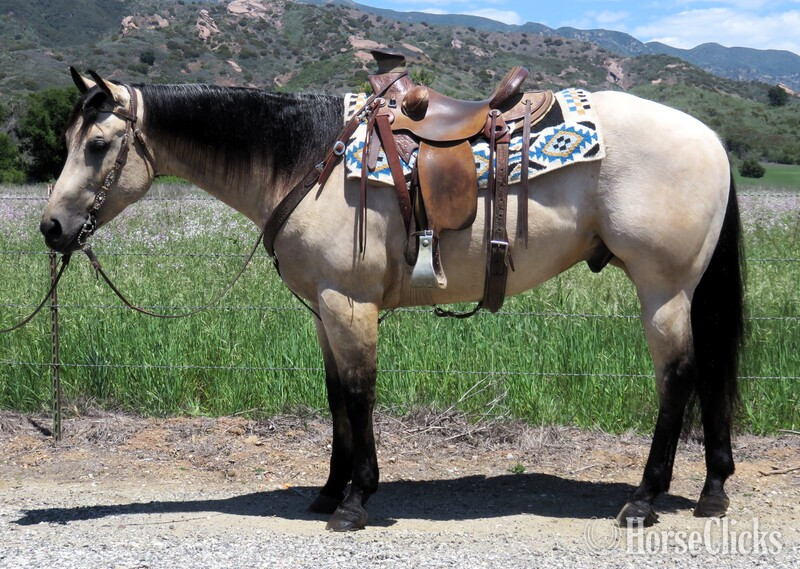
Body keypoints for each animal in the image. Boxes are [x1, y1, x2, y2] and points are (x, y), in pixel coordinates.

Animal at [41, 69, 744, 532]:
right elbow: (335, 398)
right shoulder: (325, 310)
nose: (51, 228)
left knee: (679, 378)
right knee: (710, 373)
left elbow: (358, 394)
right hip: (684, 291)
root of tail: (712, 138)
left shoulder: (348, 304)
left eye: (97, 146)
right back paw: (712, 490)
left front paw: (356, 500)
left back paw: (645, 500)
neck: (307, 158)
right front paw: (329, 492)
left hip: (662, 289)